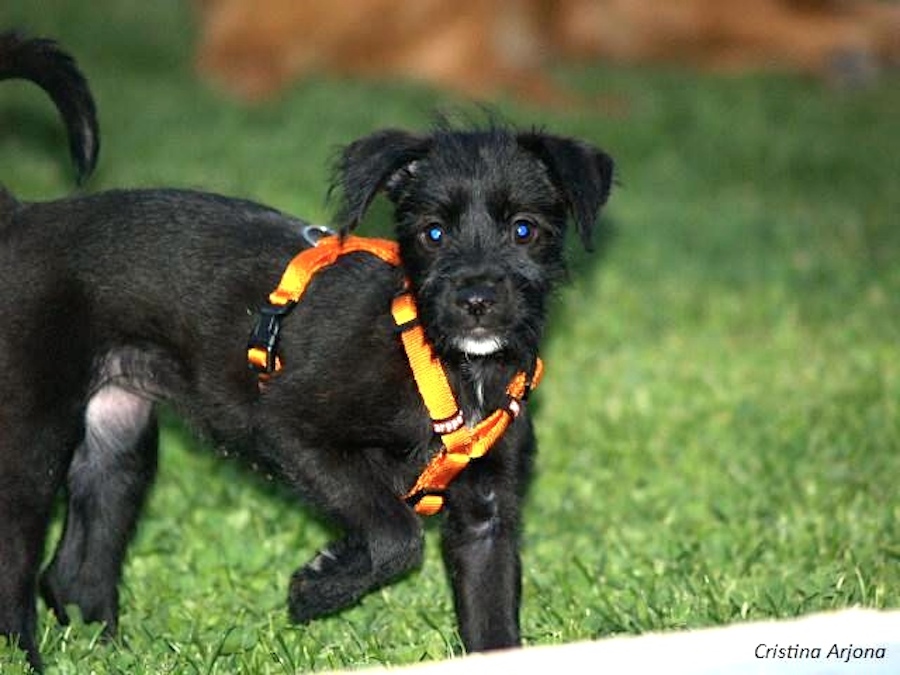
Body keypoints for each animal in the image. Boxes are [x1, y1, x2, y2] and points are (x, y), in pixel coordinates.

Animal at [0, 33, 612, 672]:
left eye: (524, 230)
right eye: (432, 233)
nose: (476, 300)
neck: (452, 367)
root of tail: (20, 216)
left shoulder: (487, 517)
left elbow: (492, 627)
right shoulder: (292, 427)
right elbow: (396, 532)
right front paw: (320, 587)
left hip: (119, 441)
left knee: (73, 574)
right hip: (31, 442)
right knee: (15, 565)